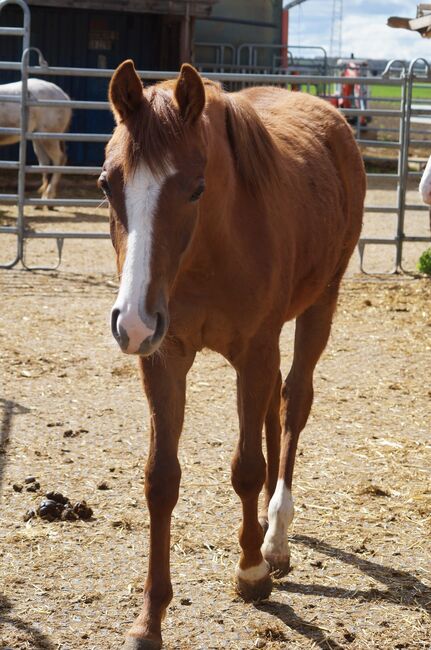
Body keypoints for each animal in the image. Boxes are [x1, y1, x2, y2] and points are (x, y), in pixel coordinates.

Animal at [100, 60, 364, 648]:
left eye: (196, 187)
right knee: (271, 410)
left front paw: (251, 572)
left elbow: (245, 466)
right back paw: (266, 522)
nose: (131, 320)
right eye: (106, 184)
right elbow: (161, 479)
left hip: (320, 304)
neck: (208, 253)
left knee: (293, 404)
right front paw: (149, 619)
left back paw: (276, 534)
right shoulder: (164, 357)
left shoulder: (254, 350)